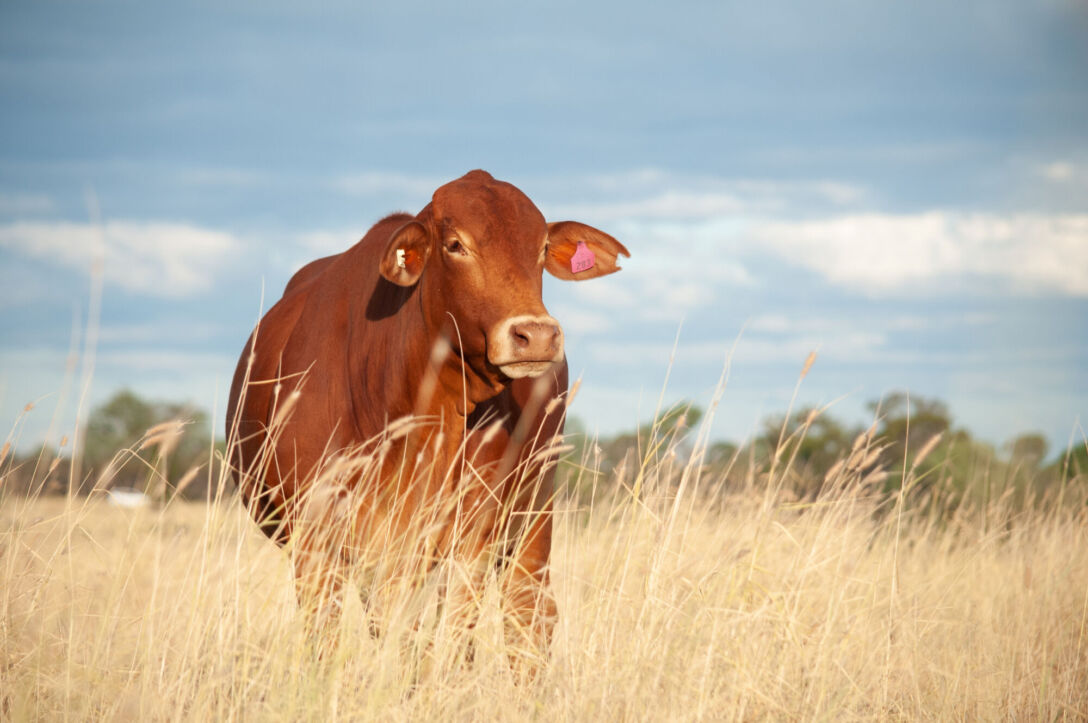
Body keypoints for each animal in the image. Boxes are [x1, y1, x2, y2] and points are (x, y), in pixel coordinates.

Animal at [226, 170, 629, 665]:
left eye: (540, 249)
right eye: (455, 245)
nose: (535, 335)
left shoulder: (470, 540)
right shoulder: (319, 543)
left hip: (531, 519)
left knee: (526, 618)